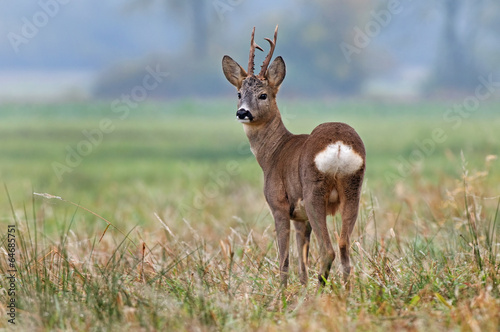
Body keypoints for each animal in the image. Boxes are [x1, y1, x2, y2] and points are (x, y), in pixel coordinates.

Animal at [221, 26, 366, 288]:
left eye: (263, 95)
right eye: (238, 93)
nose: (242, 112)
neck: (273, 153)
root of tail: (339, 146)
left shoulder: (279, 205)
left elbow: (285, 260)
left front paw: (283, 293)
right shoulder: (300, 217)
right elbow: (302, 262)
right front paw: (301, 291)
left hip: (313, 193)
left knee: (328, 250)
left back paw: (321, 291)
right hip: (353, 189)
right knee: (344, 246)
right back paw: (347, 293)